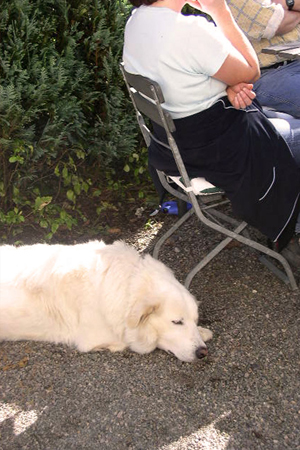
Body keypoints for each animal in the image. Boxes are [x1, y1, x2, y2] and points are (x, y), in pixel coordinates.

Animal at [0, 239, 212, 362]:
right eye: (176, 322)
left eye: (194, 320)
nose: (202, 352)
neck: (127, 286)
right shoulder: (95, 338)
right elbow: (130, 341)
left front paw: (203, 331)